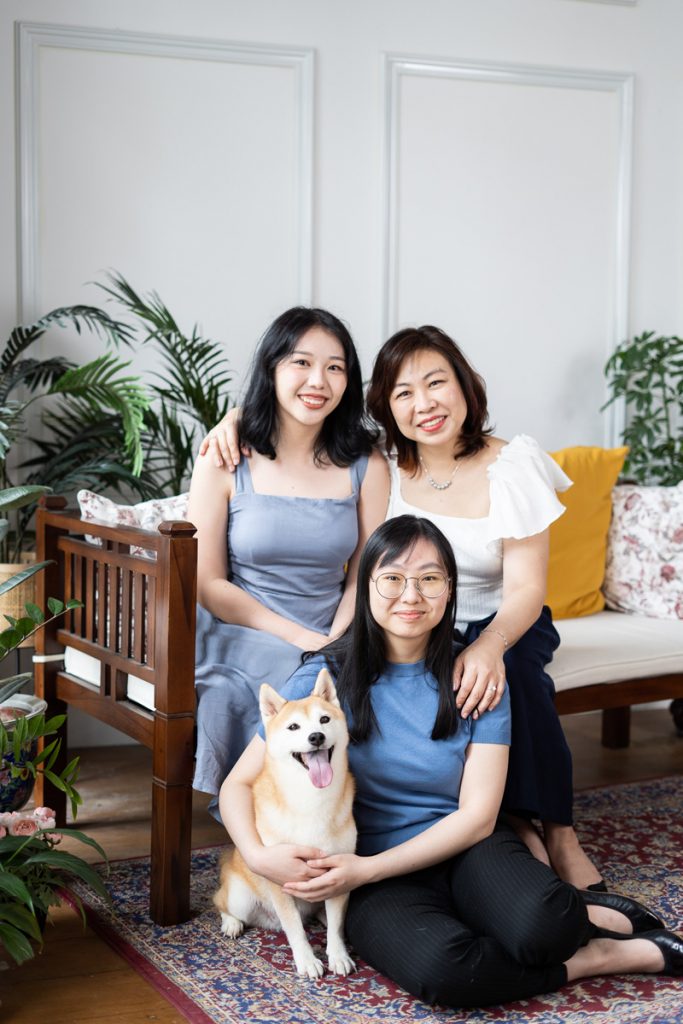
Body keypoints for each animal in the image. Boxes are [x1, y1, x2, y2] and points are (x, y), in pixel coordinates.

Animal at [214, 667, 356, 978]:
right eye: (293, 727)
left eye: (324, 719)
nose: (316, 736)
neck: (312, 799)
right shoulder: (279, 875)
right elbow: (295, 929)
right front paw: (307, 960)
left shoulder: (338, 872)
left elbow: (336, 924)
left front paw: (337, 954)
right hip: (241, 898)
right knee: (220, 902)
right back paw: (231, 922)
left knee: (325, 916)